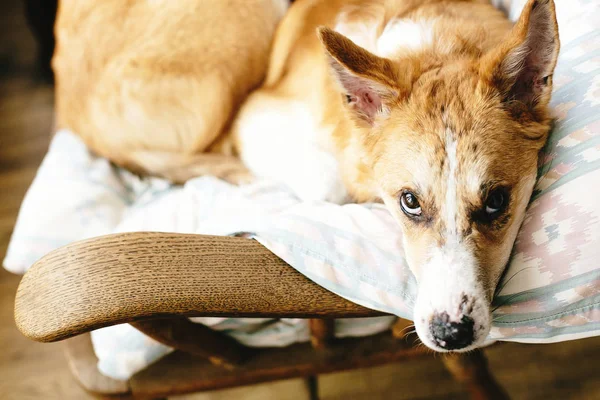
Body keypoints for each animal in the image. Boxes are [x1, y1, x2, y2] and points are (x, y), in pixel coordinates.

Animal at [51, 0, 556, 352]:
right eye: (409, 202)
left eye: (496, 201)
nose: (451, 334)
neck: (437, 41)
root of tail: (68, 112)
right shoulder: (256, 119)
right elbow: (327, 182)